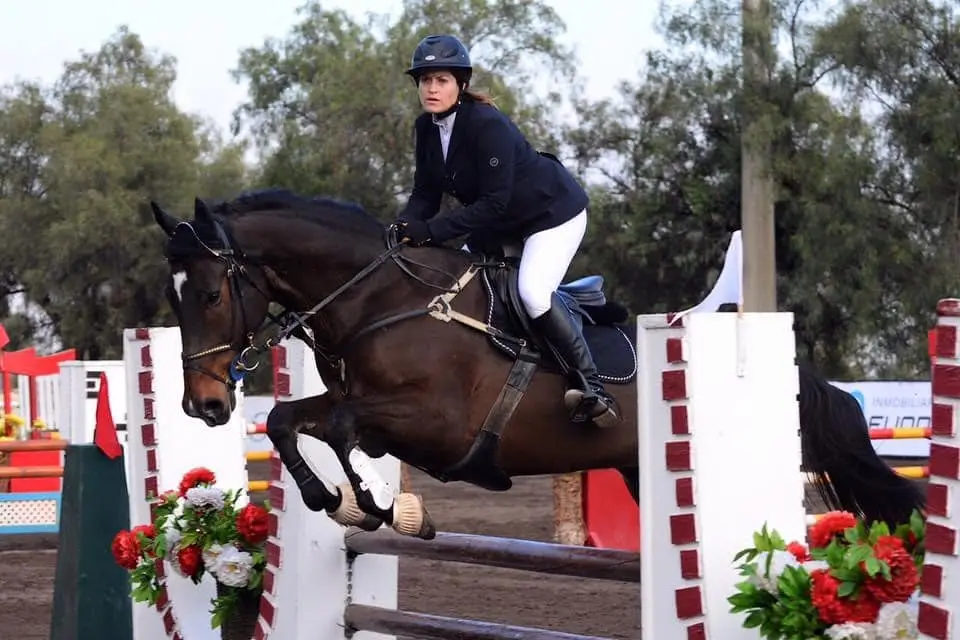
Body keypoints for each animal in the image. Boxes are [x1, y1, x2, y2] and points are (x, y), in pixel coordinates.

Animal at [148, 188, 926, 540]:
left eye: (212, 294)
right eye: (173, 296)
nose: (205, 406)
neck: (380, 298)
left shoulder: (435, 423)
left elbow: (340, 428)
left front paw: (374, 503)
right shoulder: (361, 406)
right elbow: (289, 419)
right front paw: (337, 501)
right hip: (641, 471)